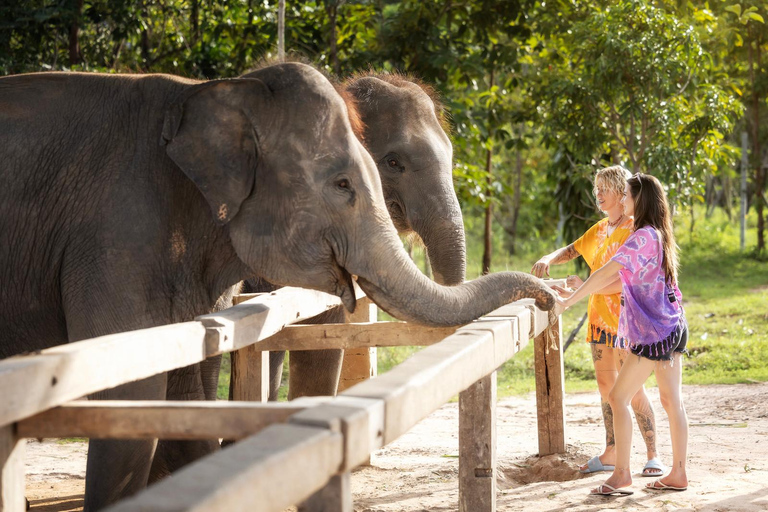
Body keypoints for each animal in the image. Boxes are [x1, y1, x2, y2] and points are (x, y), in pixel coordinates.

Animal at [0, 62, 552, 510]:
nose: (546, 294)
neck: (215, 91)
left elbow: (197, 377)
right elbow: (134, 389)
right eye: (388, 165)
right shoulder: (119, 232)